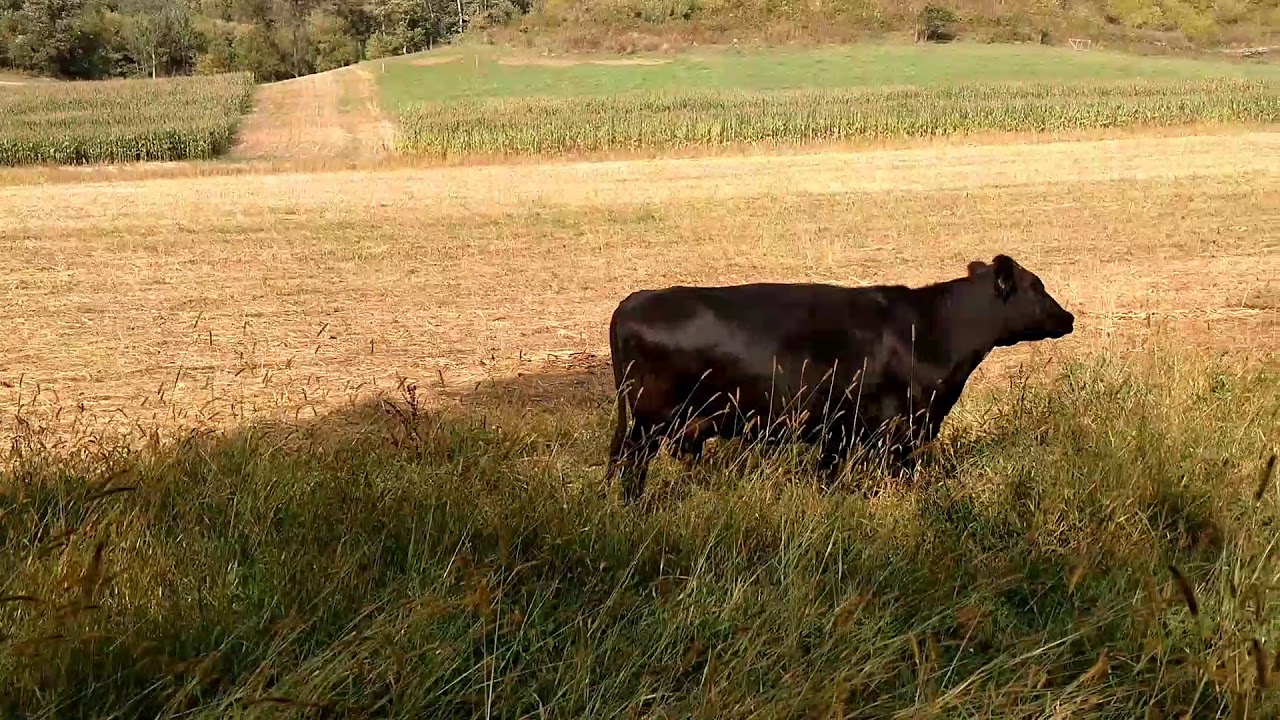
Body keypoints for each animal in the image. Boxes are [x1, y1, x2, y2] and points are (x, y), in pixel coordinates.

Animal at [602, 254, 1075, 502]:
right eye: (1037, 287)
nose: (1069, 317)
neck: (931, 330)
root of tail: (633, 301)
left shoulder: (839, 432)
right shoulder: (896, 432)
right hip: (648, 423)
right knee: (631, 467)